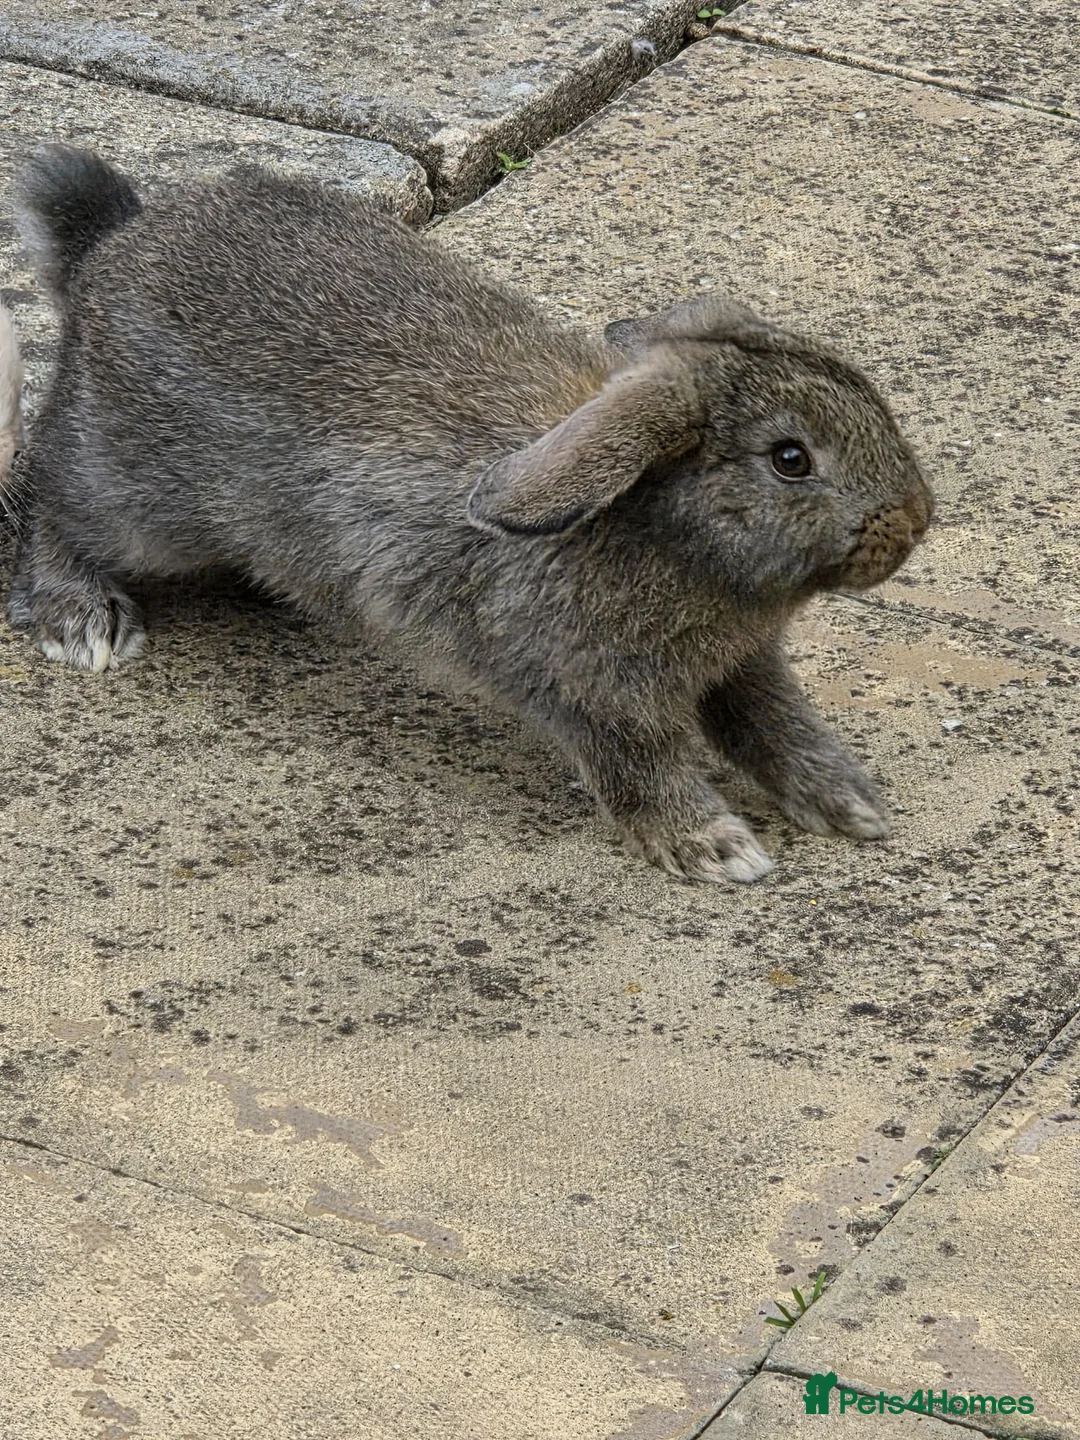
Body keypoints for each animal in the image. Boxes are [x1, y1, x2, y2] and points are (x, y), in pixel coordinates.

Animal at [5, 144, 933, 884]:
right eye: (791, 458)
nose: (914, 521)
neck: (655, 527)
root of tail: (106, 250)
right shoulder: (590, 692)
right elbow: (642, 766)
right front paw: (716, 849)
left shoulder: (742, 666)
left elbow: (776, 725)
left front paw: (850, 804)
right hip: (136, 499)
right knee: (51, 496)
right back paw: (84, 622)